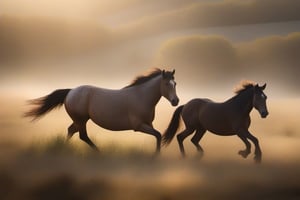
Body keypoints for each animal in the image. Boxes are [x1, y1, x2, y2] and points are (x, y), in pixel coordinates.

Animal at [25, 68, 178, 154]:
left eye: (175, 83)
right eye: (166, 84)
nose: (176, 101)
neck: (141, 96)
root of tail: (71, 91)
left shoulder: (148, 125)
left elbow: (157, 135)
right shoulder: (139, 126)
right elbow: (158, 135)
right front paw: (156, 156)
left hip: (80, 120)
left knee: (71, 130)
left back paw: (63, 150)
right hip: (81, 120)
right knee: (82, 136)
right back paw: (100, 152)